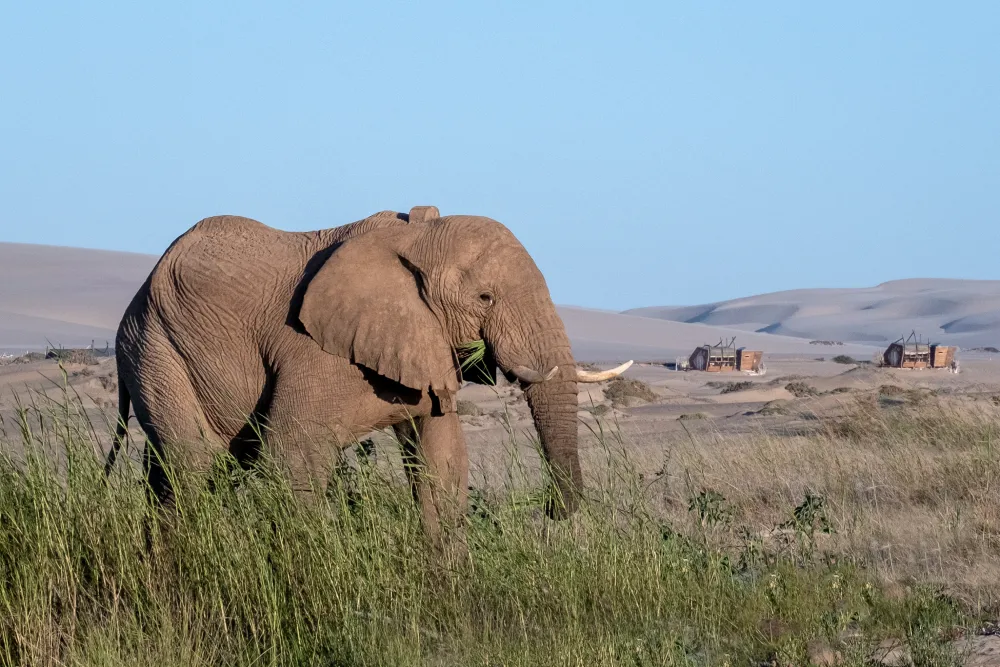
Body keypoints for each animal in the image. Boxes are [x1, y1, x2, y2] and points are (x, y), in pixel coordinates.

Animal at [107, 205, 632, 536]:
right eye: (485, 298)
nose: (549, 508)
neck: (415, 238)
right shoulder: (313, 350)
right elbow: (294, 453)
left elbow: (441, 464)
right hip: (155, 347)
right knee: (190, 464)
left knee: (179, 470)